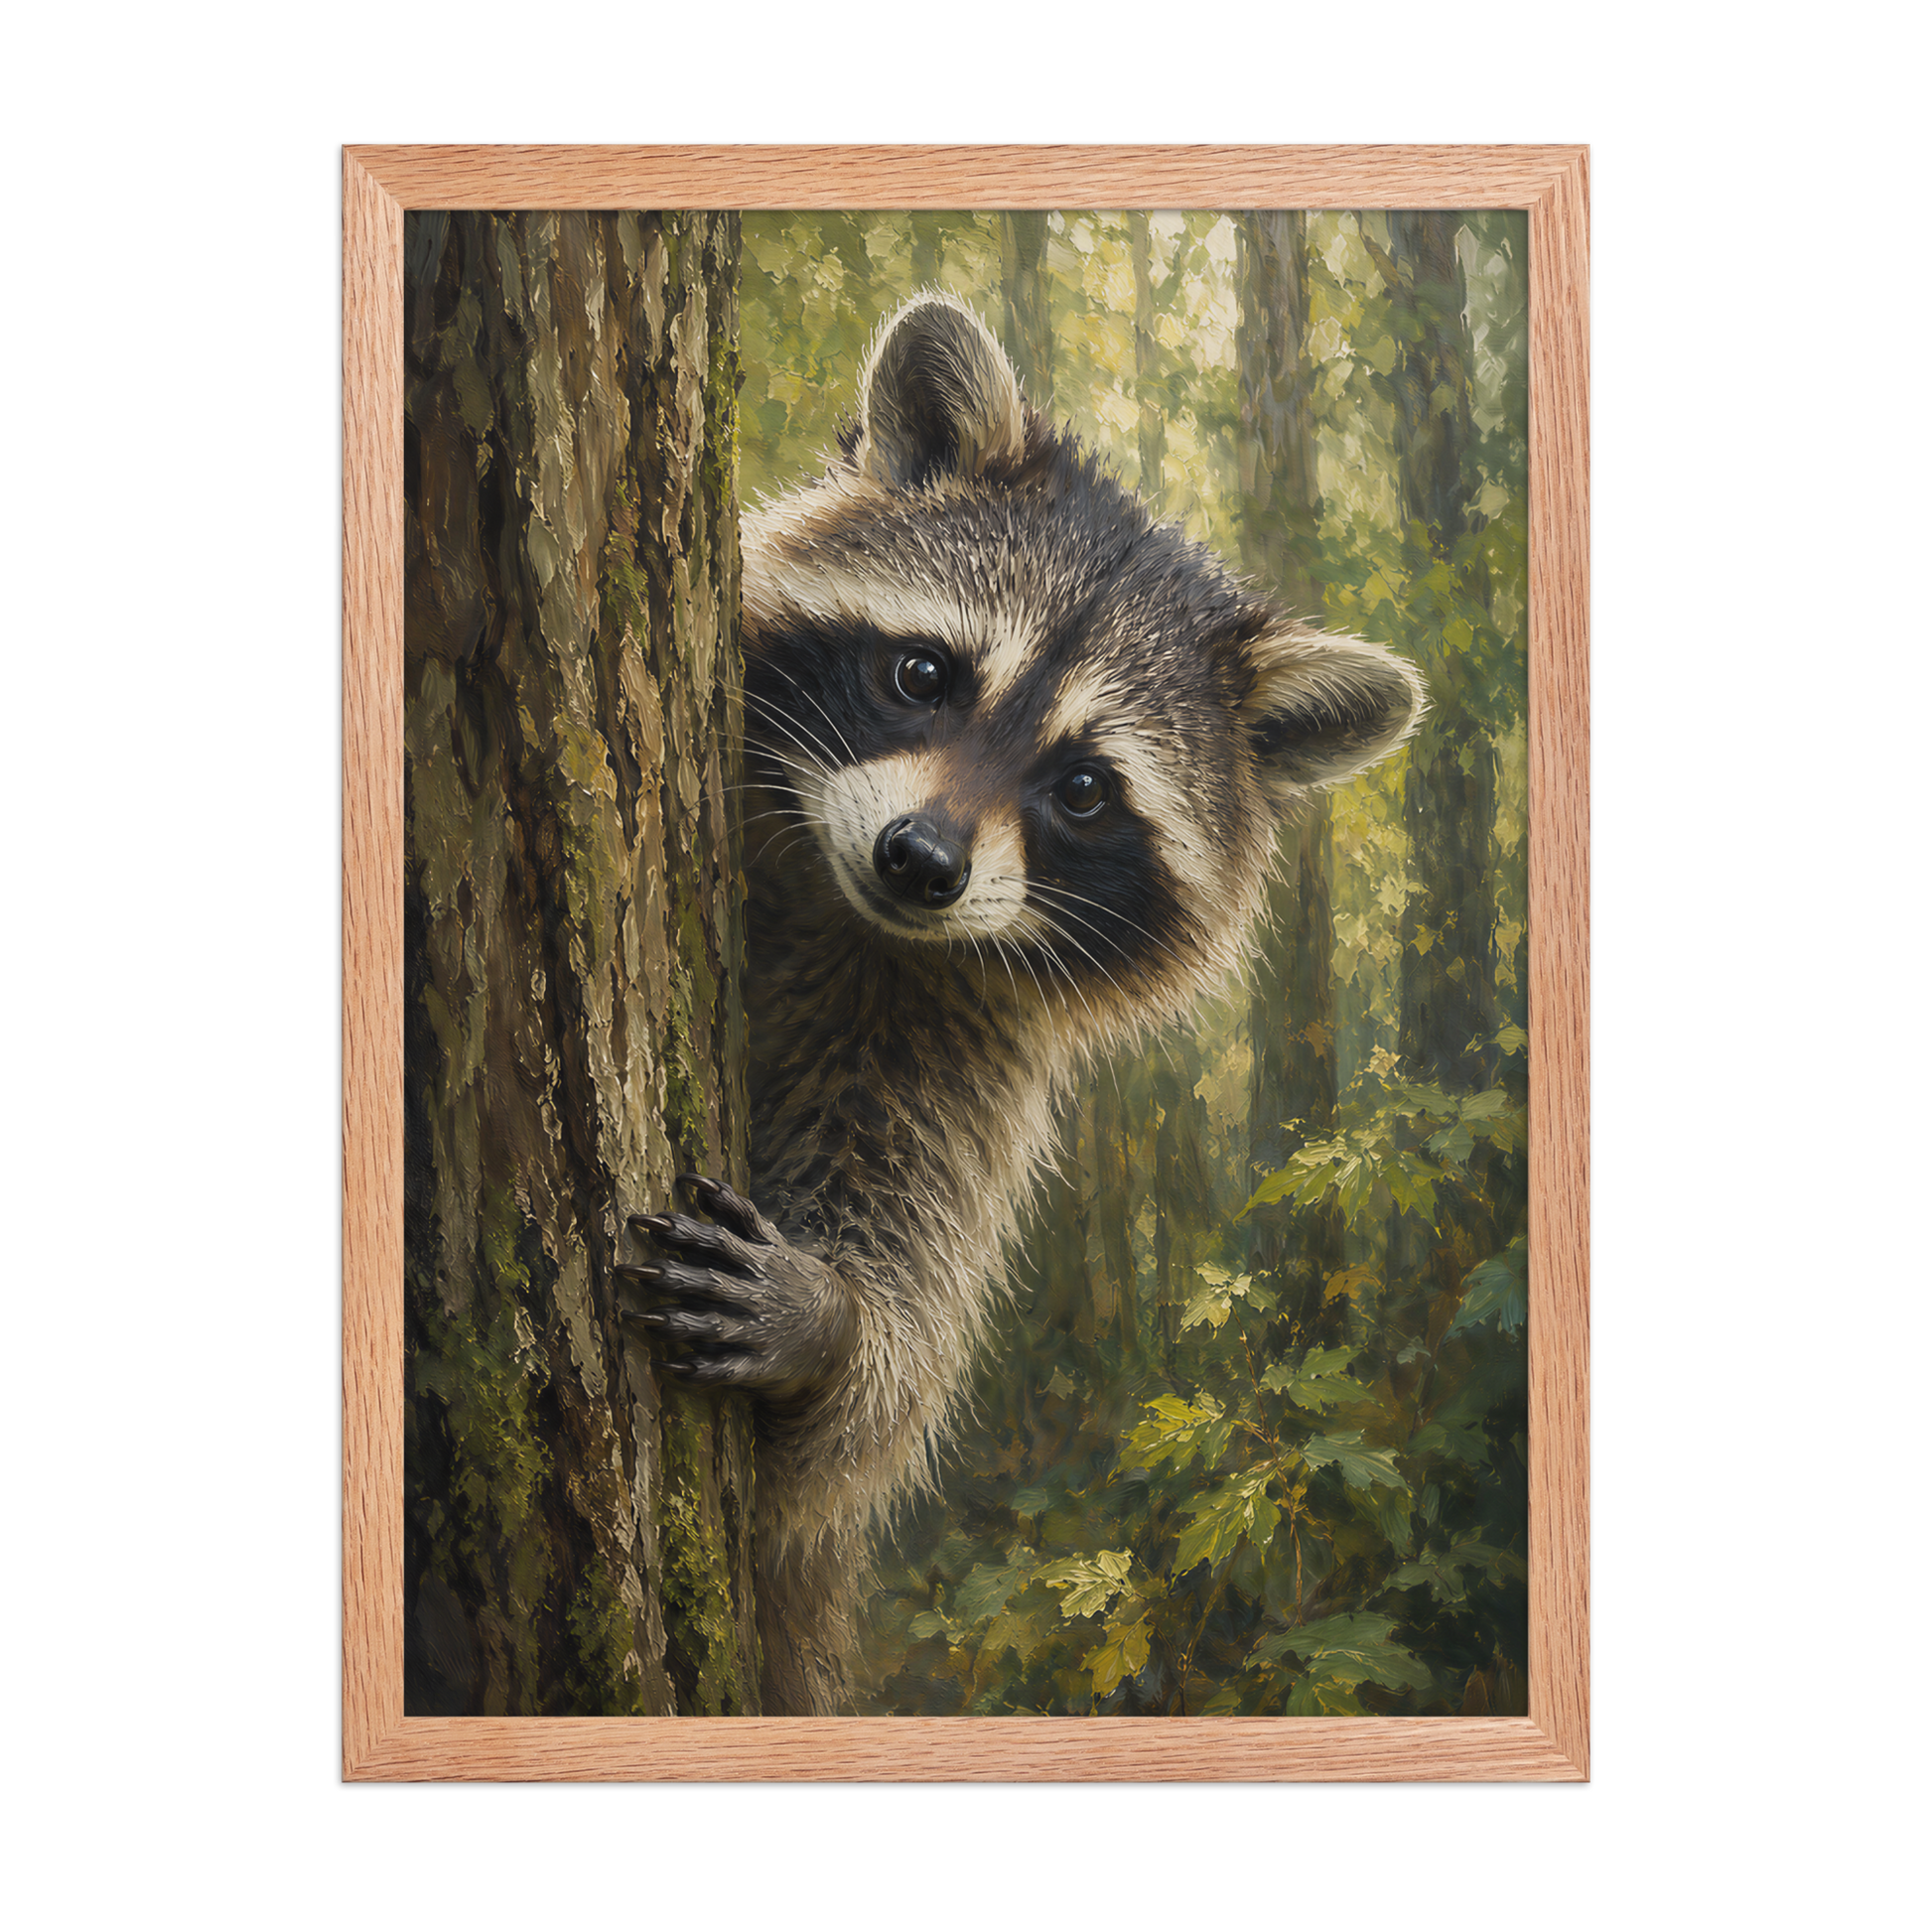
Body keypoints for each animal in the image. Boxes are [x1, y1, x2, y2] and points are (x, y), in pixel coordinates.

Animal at [618, 290, 1424, 1715]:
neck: (845, 911)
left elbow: (865, 1410)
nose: (920, 862)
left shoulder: (954, 1053)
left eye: (1085, 789)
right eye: (923, 674)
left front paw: (834, 1325)